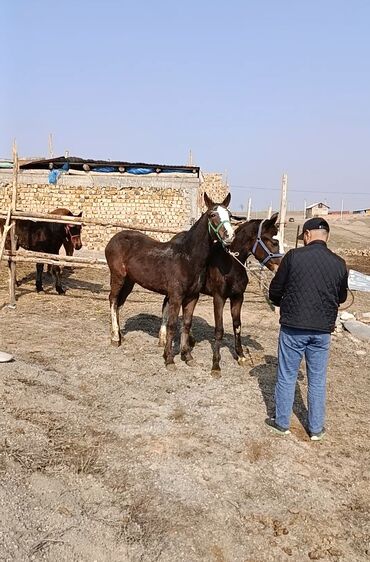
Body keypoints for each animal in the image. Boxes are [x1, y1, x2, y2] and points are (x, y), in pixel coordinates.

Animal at [105, 192, 236, 368]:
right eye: (212, 215)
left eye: (229, 214)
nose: (229, 236)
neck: (187, 258)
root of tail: (113, 240)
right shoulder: (176, 296)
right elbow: (172, 324)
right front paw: (169, 359)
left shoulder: (192, 297)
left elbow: (186, 324)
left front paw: (187, 356)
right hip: (118, 276)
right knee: (113, 300)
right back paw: (114, 338)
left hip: (129, 281)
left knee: (119, 303)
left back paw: (120, 335)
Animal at [160, 212, 284, 374]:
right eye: (274, 241)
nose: (281, 267)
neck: (230, 263)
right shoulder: (219, 298)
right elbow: (219, 329)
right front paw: (216, 365)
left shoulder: (238, 297)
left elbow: (237, 325)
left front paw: (241, 356)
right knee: (166, 305)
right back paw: (162, 338)